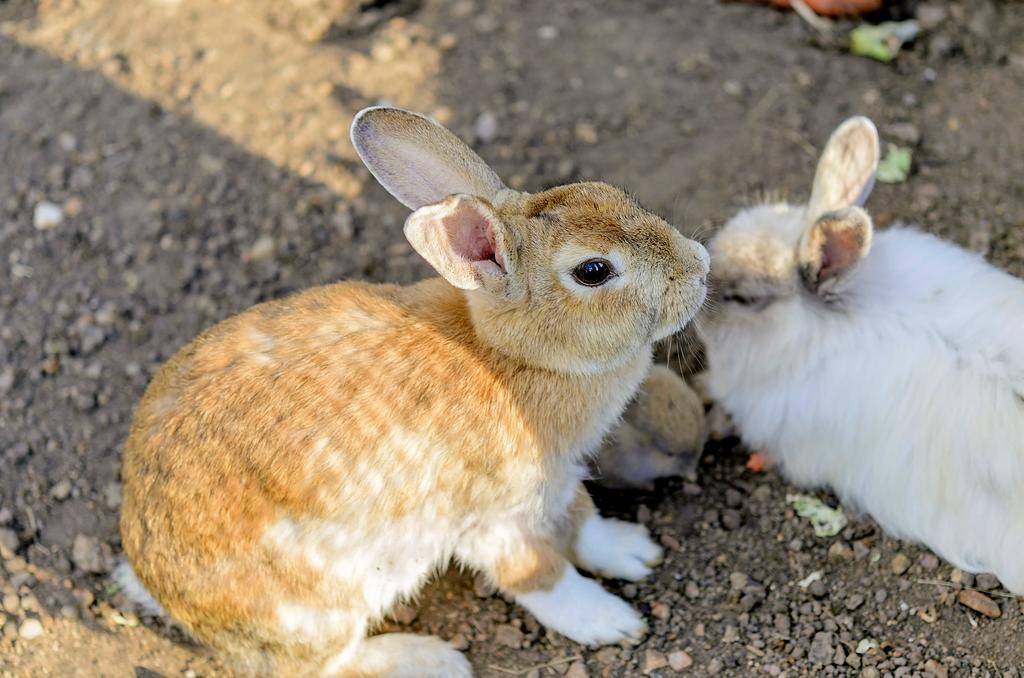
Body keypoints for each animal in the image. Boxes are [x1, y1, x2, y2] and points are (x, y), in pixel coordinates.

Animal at [116, 109, 708, 675]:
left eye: (611, 194)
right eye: (593, 270)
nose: (699, 268)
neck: (511, 355)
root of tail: (161, 592)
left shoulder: (559, 483)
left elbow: (583, 522)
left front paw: (634, 553)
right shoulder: (496, 520)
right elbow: (539, 576)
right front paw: (611, 621)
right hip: (320, 605)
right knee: (318, 667)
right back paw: (433, 661)